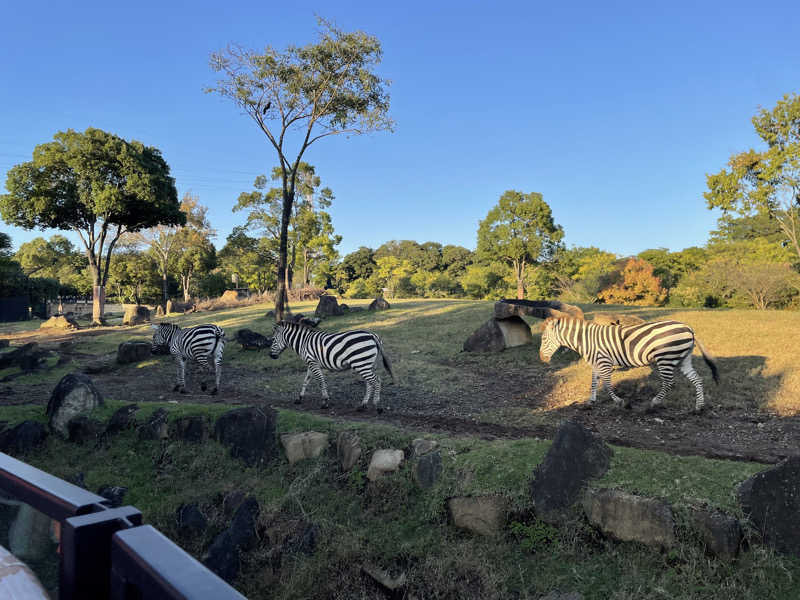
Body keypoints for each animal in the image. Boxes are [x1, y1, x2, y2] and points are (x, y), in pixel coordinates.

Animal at [536, 318, 720, 412]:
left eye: (544, 339)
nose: (541, 359)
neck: (587, 340)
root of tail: (689, 328)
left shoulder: (604, 362)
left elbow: (607, 384)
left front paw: (620, 402)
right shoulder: (596, 362)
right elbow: (594, 382)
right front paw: (591, 401)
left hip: (666, 357)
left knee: (669, 382)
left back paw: (654, 403)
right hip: (683, 359)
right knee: (698, 379)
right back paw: (699, 406)